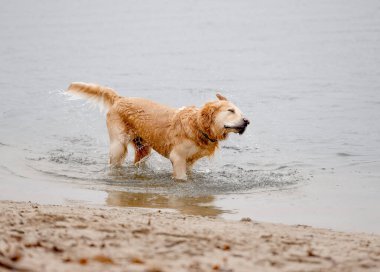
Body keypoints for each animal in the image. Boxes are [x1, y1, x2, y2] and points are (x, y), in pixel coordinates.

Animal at [66, 83, 249, 181]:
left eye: (241, 113)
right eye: (230, 111)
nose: (247, 121)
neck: (198, 126)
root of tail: (120, 99)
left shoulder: (190, 161)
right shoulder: (178, 157)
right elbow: (181, 176)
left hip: (143, 147)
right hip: (118, 144)